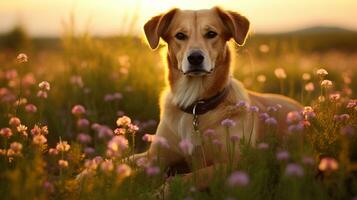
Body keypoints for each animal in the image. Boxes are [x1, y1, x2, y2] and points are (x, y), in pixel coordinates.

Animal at [134, 7, 300, 192]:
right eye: (180, 35)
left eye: (211, 34)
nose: (195, 57)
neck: (194, 105)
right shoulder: (153, 157)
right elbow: (126, 164)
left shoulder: (234, 165)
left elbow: (186, 178)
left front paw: (158, 192)